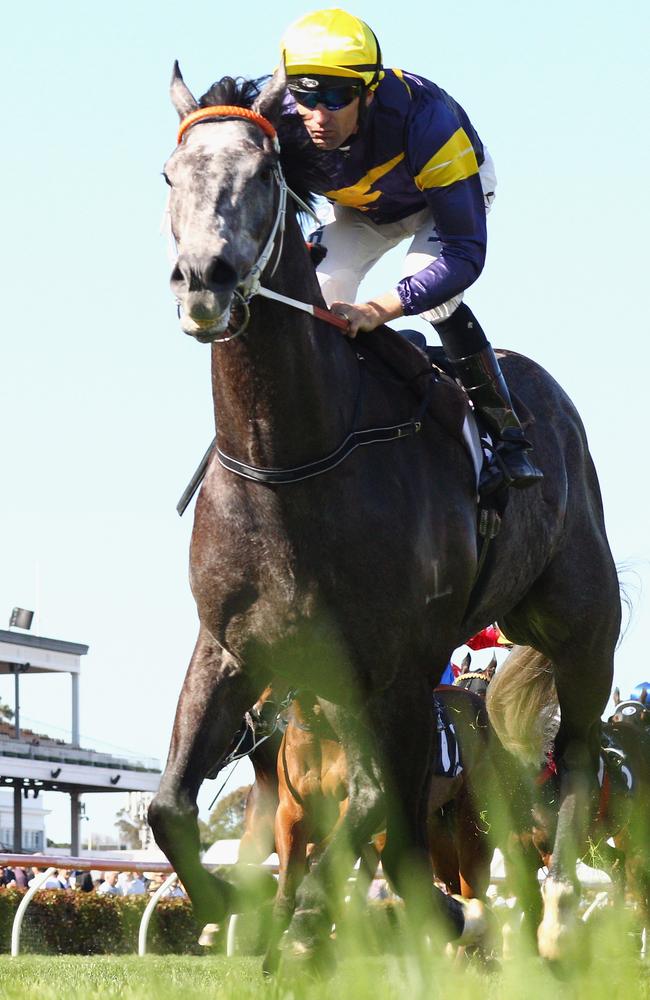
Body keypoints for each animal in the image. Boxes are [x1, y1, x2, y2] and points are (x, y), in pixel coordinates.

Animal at [149, 64, 620, 968]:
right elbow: (171, 807)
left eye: (266, 173)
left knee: (574, 755)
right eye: (168, 175)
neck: (291, 461)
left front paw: (308, 923)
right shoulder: (230, 646)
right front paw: (234, 910)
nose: (205, 280)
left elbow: (380, 801)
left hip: (582, 626)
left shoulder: (401, 665)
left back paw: (555, 918)